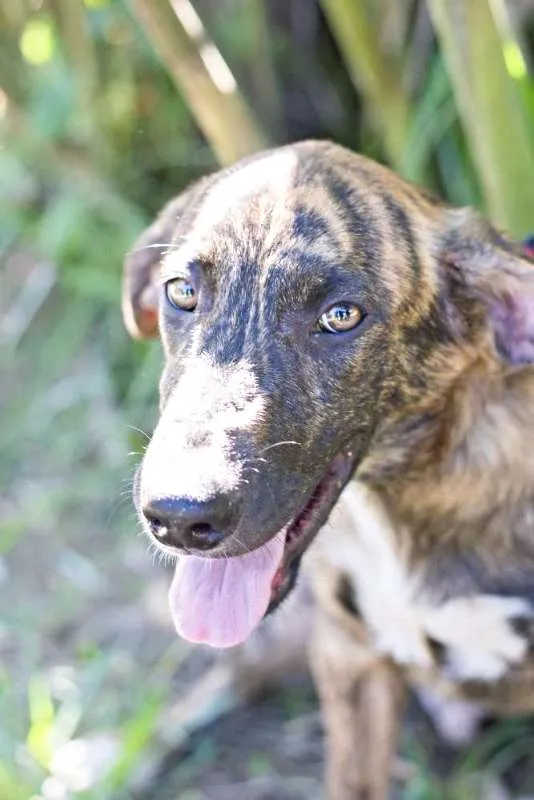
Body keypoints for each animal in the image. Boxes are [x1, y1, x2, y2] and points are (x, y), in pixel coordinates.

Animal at [123, 142, 534, 800]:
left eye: (341, 316)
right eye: (182, 291)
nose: (179, 519)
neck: (402, 499)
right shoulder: (348, 655)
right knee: (232, 677)